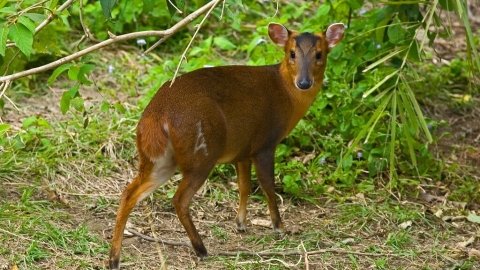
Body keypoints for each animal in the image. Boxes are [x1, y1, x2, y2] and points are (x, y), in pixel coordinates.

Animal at [109, 21, 344, 268]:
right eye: (291, 53)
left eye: (319, 54)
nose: (304, 82)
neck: (285, 94)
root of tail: (155, 116)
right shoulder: (265, 145)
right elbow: (268, 186)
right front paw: (278, 226)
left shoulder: (242, 152)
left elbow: (244, 186)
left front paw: (241, 223)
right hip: (201, 154)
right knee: (179, 199)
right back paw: (201, 249)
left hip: (158, 159)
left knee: (129, 193)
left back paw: (114, 258)